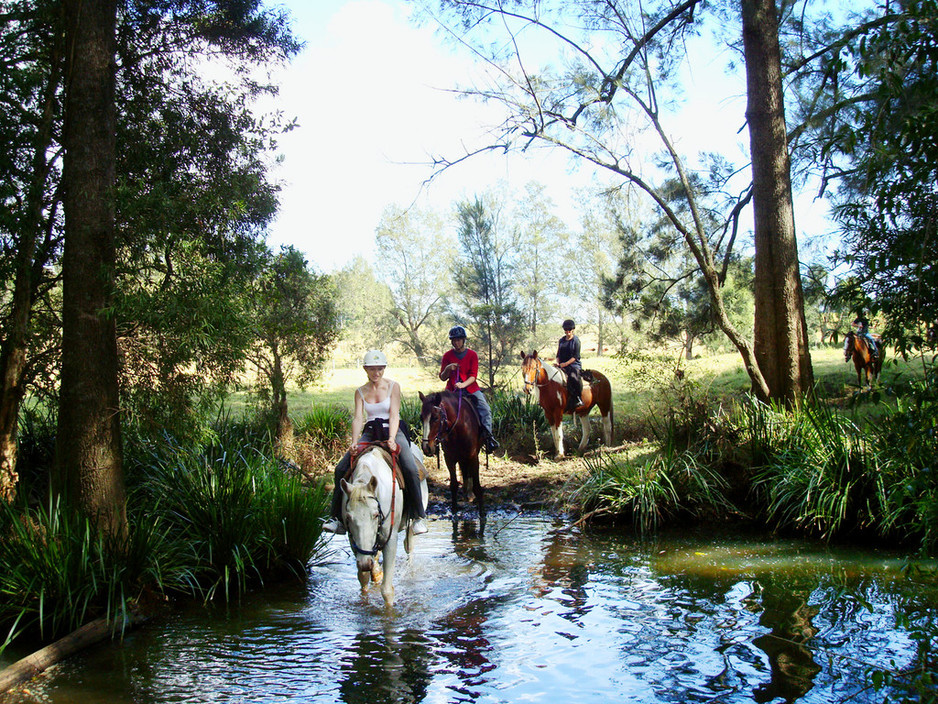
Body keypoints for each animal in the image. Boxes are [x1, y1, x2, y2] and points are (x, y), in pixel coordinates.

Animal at [340, 442, 428, 604]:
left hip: (412, 523)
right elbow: (363, 578)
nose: (365, 563)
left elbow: (387, 590)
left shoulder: (390, 539)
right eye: (348, 518)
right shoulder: (354, 541)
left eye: (375, 515)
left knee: (409, 547)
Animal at [420, 388, 486, 520]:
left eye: (435, 418)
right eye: (421, 418)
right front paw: (454, 512)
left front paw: (482, 515)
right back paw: (467, 492)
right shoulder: (449, 458)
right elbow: (453, 485)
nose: (426, 447)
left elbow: (477, 486)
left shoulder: (473, 456)